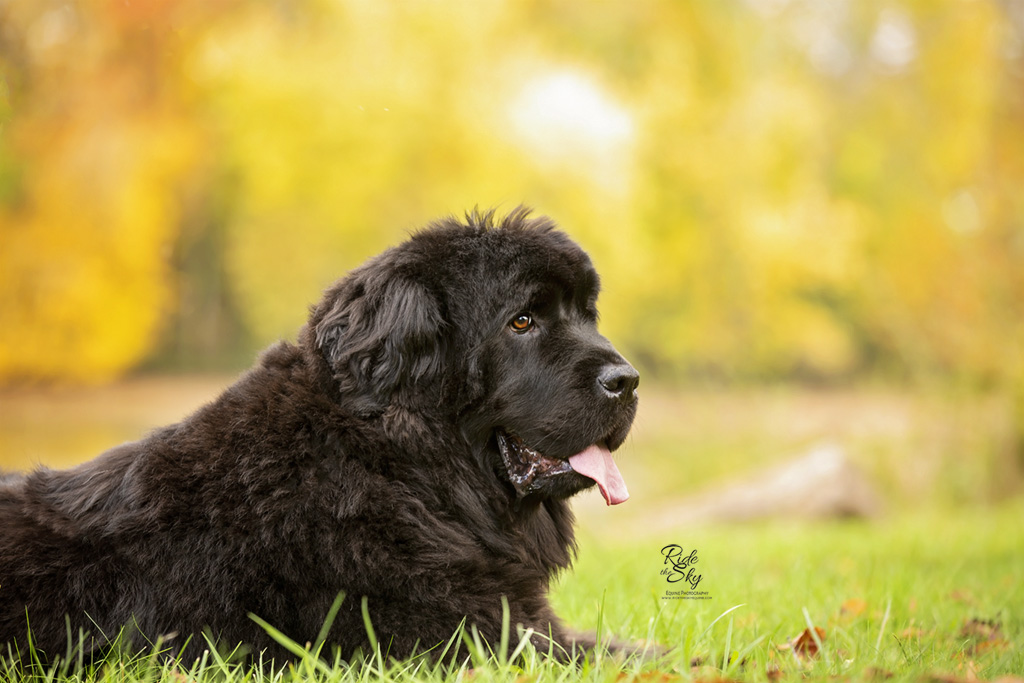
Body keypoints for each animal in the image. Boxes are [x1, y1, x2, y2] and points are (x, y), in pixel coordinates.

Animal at [0, 209, 638, 667]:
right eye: (522, 321)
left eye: (587, 315)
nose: (627, 380)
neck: (398, 465)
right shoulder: (468, 635)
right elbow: (614, 655)